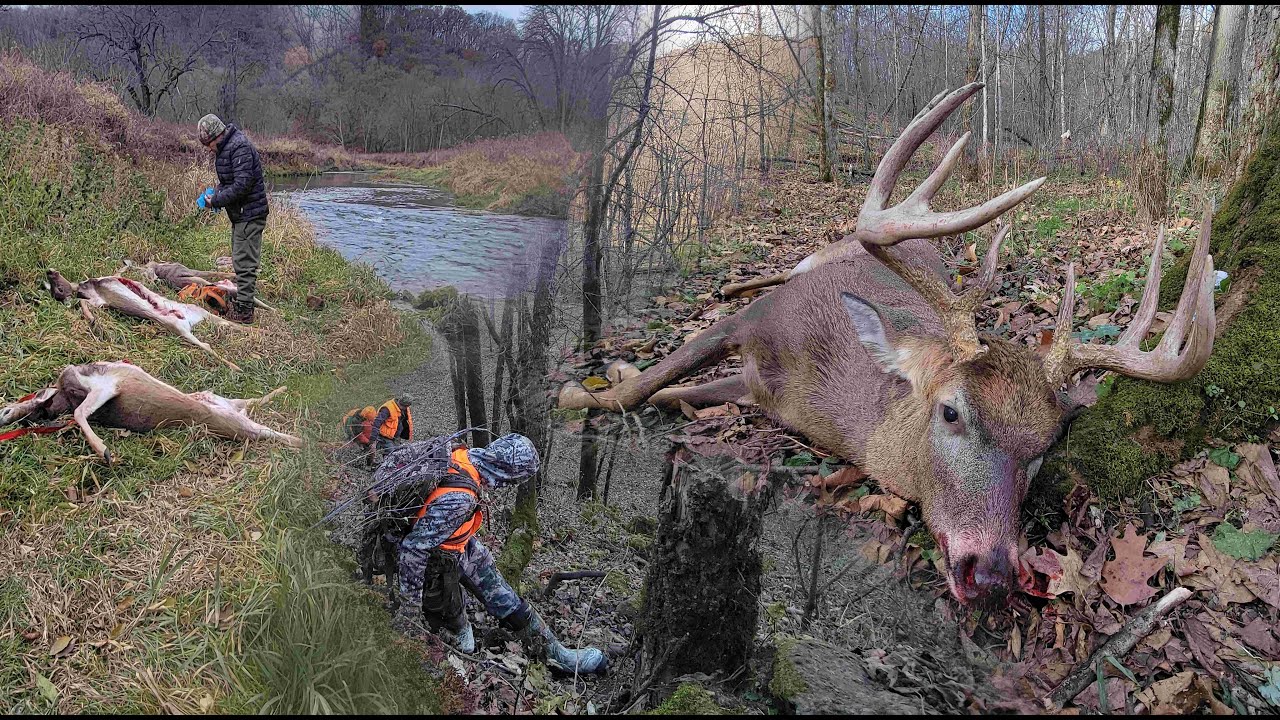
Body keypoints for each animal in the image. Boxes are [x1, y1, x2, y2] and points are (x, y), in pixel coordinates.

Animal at [0, 361, 303, 465]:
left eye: (4, 408)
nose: (5, 413)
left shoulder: (103, 386)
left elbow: (78, 412)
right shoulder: (105, 387)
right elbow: (79, 414)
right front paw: (103, 450)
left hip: (219, 401)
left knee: (251, 402)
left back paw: (283, 389)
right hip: (235, 421)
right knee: (272, 431)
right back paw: (303, 439)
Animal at [46, 269, 245, 371]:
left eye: (58, 288)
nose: (49, 271)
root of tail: (187, 319)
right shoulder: (96, 299)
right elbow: (85, 303)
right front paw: (93, 320)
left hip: (199, 312)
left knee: (229, 327)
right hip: (183, 327)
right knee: (208, 345)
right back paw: (237, 367)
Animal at [557, 83, 1218, 607]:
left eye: (1047, 445)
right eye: (950, 411)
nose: (991, 577)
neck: (826, 402)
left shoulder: (755, 387)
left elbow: (672, 393)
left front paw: (618, 375)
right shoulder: (753, 323)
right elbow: (650, 381)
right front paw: (579, 388)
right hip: (805, 265)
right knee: (766, 278)